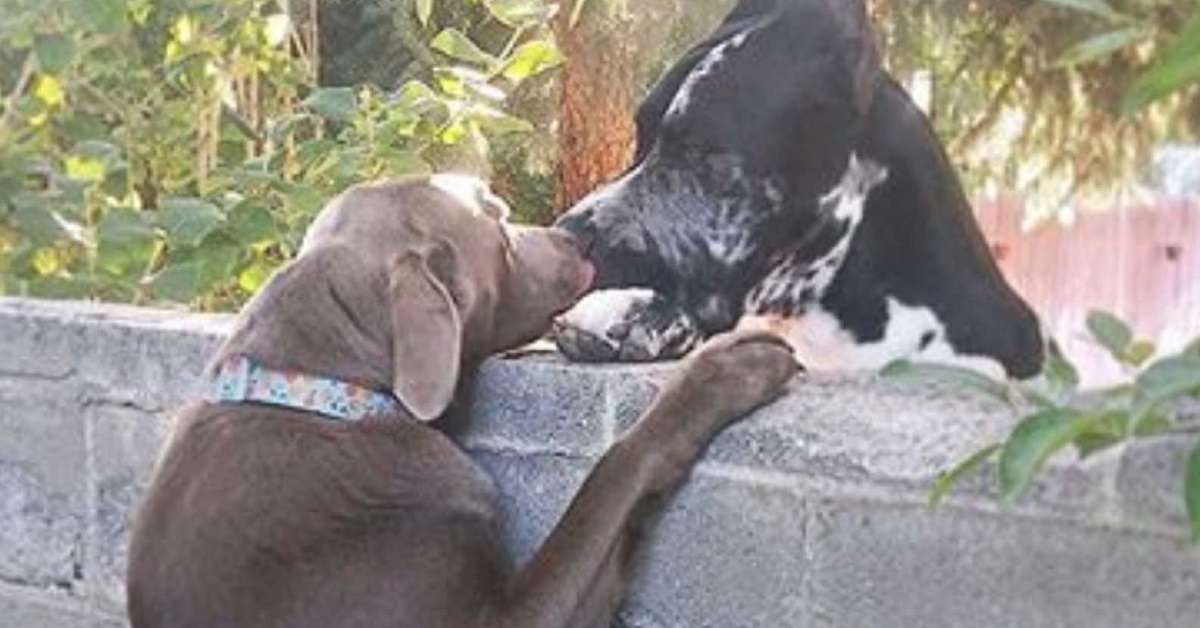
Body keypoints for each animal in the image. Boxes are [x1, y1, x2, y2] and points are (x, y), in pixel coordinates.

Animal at [126, 174, 796, 624]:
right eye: (497, 219)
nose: (576, 238)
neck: (330, 392)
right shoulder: (507, 617)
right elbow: (613, 471)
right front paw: (731, 367)